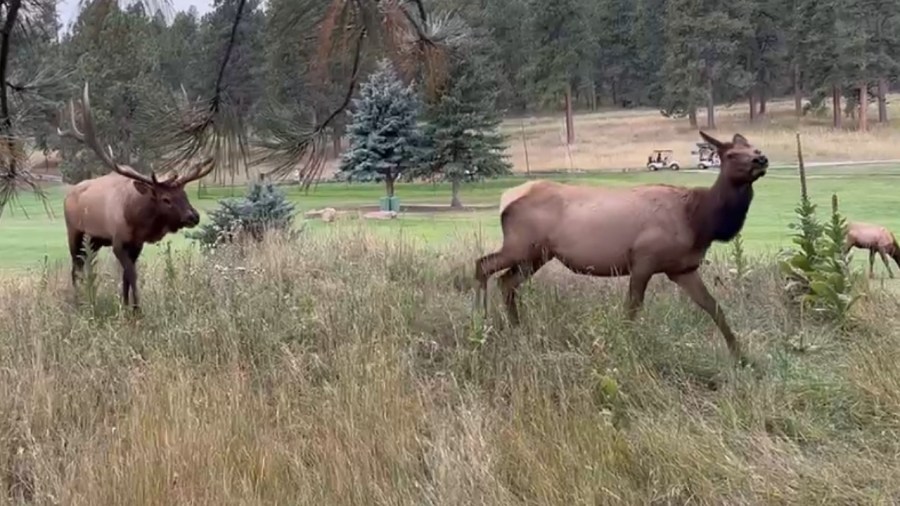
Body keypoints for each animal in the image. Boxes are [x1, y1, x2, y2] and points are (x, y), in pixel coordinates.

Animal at [59, 82, 215, 312]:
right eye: (166, 199)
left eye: (184, 193)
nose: (193, 216)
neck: (136, 218)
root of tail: (67, 196)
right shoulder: (118, 242)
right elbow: (132, 274)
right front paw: (137, 310)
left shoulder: (137, 244)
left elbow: (126, 278)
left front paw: (127, 307)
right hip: (75, 233)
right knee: (75, 268)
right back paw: (78, 303)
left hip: (94, 241)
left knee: (87, 266)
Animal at [474, 131, 768, 366]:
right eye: (730, 154)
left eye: (754, 148)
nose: (761, 159)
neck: (700, 222)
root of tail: (506, 199)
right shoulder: (643, 259)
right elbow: (632, 308)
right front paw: (624, 348)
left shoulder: (682, 268)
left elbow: (713, 307)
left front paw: (743, 358)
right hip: (521, 246)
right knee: (482, 265)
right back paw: (480, 323)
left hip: (536, 255)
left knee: (506, 281)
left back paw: (517, 329)